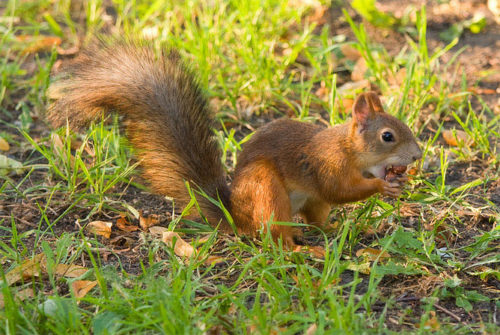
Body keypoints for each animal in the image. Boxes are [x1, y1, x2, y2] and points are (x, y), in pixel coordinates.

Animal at [47, 39, 422, 249]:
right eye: (387, 136)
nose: (417, 155)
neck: (350, 150)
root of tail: (237, 215)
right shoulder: (325, 163)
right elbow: (339, 190)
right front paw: (382, 188)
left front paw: (397, 184)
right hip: (266, 189)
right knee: (273, 234)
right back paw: (297, 249)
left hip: (309, 203)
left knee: (316, 222)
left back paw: (341, 229)